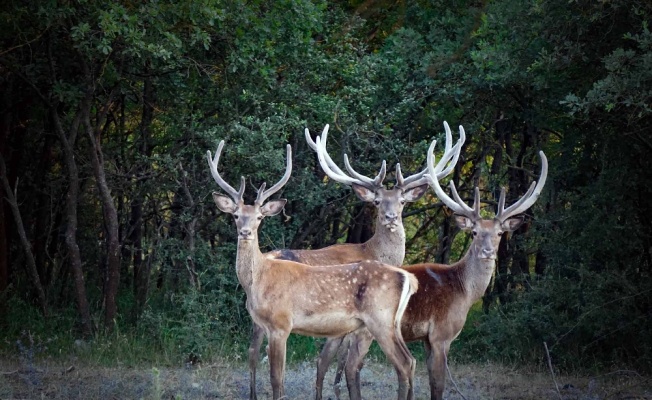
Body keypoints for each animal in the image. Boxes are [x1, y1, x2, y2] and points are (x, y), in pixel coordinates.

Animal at [314, 140, 548, 396]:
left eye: (499, 233)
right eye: (474, 233)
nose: (487, 252)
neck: (464, 291)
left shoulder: (426, 339)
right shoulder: (440, 335)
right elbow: (437, 384)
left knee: (327, 362)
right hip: (368, 328)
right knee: (350, 365)